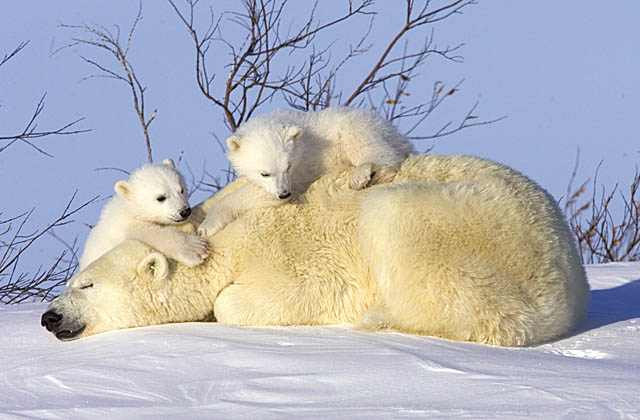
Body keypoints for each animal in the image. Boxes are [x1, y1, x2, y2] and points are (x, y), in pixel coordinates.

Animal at [76, 158, 209, 270]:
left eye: (181, 190)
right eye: (161, 197)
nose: (185, 211)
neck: (129, 209)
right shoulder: (122, 228)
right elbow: (147, 232)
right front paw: (196, 249)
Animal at [196, 106, 416, 238]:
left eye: (288, 166)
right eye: (264, 173)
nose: (284, 194)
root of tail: (401, 138)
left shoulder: (304, 166)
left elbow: (252, 194)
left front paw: (207, 226)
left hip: (356, 125)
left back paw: (362, 175)